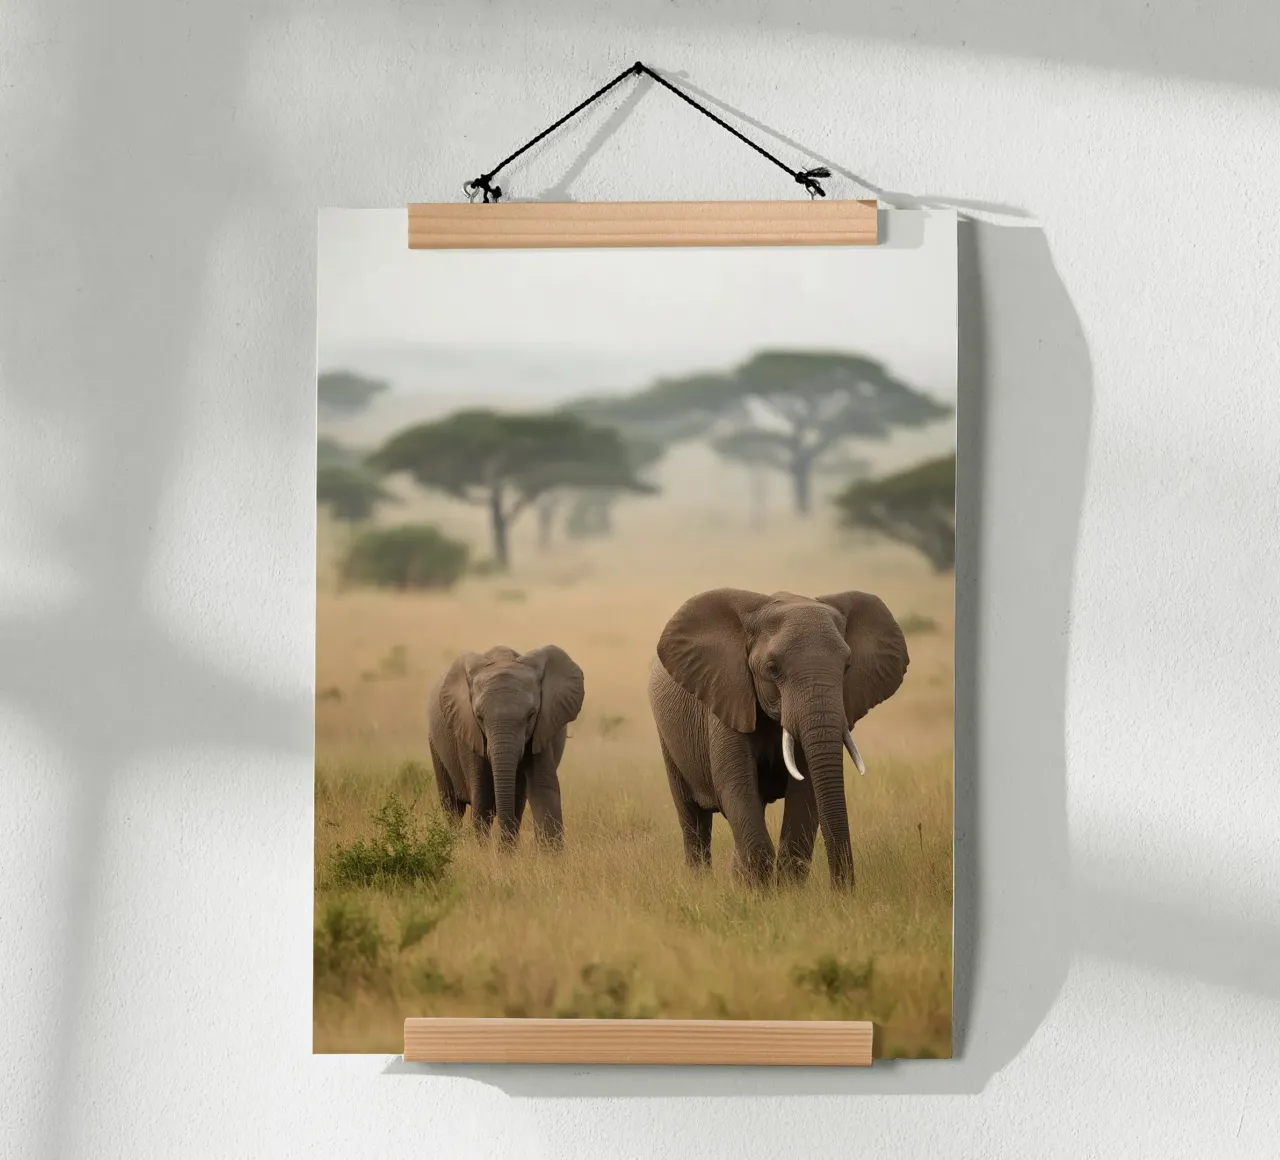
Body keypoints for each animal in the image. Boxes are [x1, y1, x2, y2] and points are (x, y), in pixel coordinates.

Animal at [427, 644, 585, 849]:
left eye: (530, 716)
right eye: (479, 717)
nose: (502, 850)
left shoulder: (543, 727)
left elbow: (541, 788)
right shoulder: (468, 729)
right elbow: (482, 795)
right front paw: (485, 853)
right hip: (435, 745)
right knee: (452, 806)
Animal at [647, 588, 909, 889]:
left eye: (847, 666)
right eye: (773, 668)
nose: (842, 892)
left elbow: (805, 794)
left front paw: (785, 893)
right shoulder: (728, 698)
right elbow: (736, 788)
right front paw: (761, 894)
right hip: (667, 737)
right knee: (693, 819)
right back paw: (700, 884)